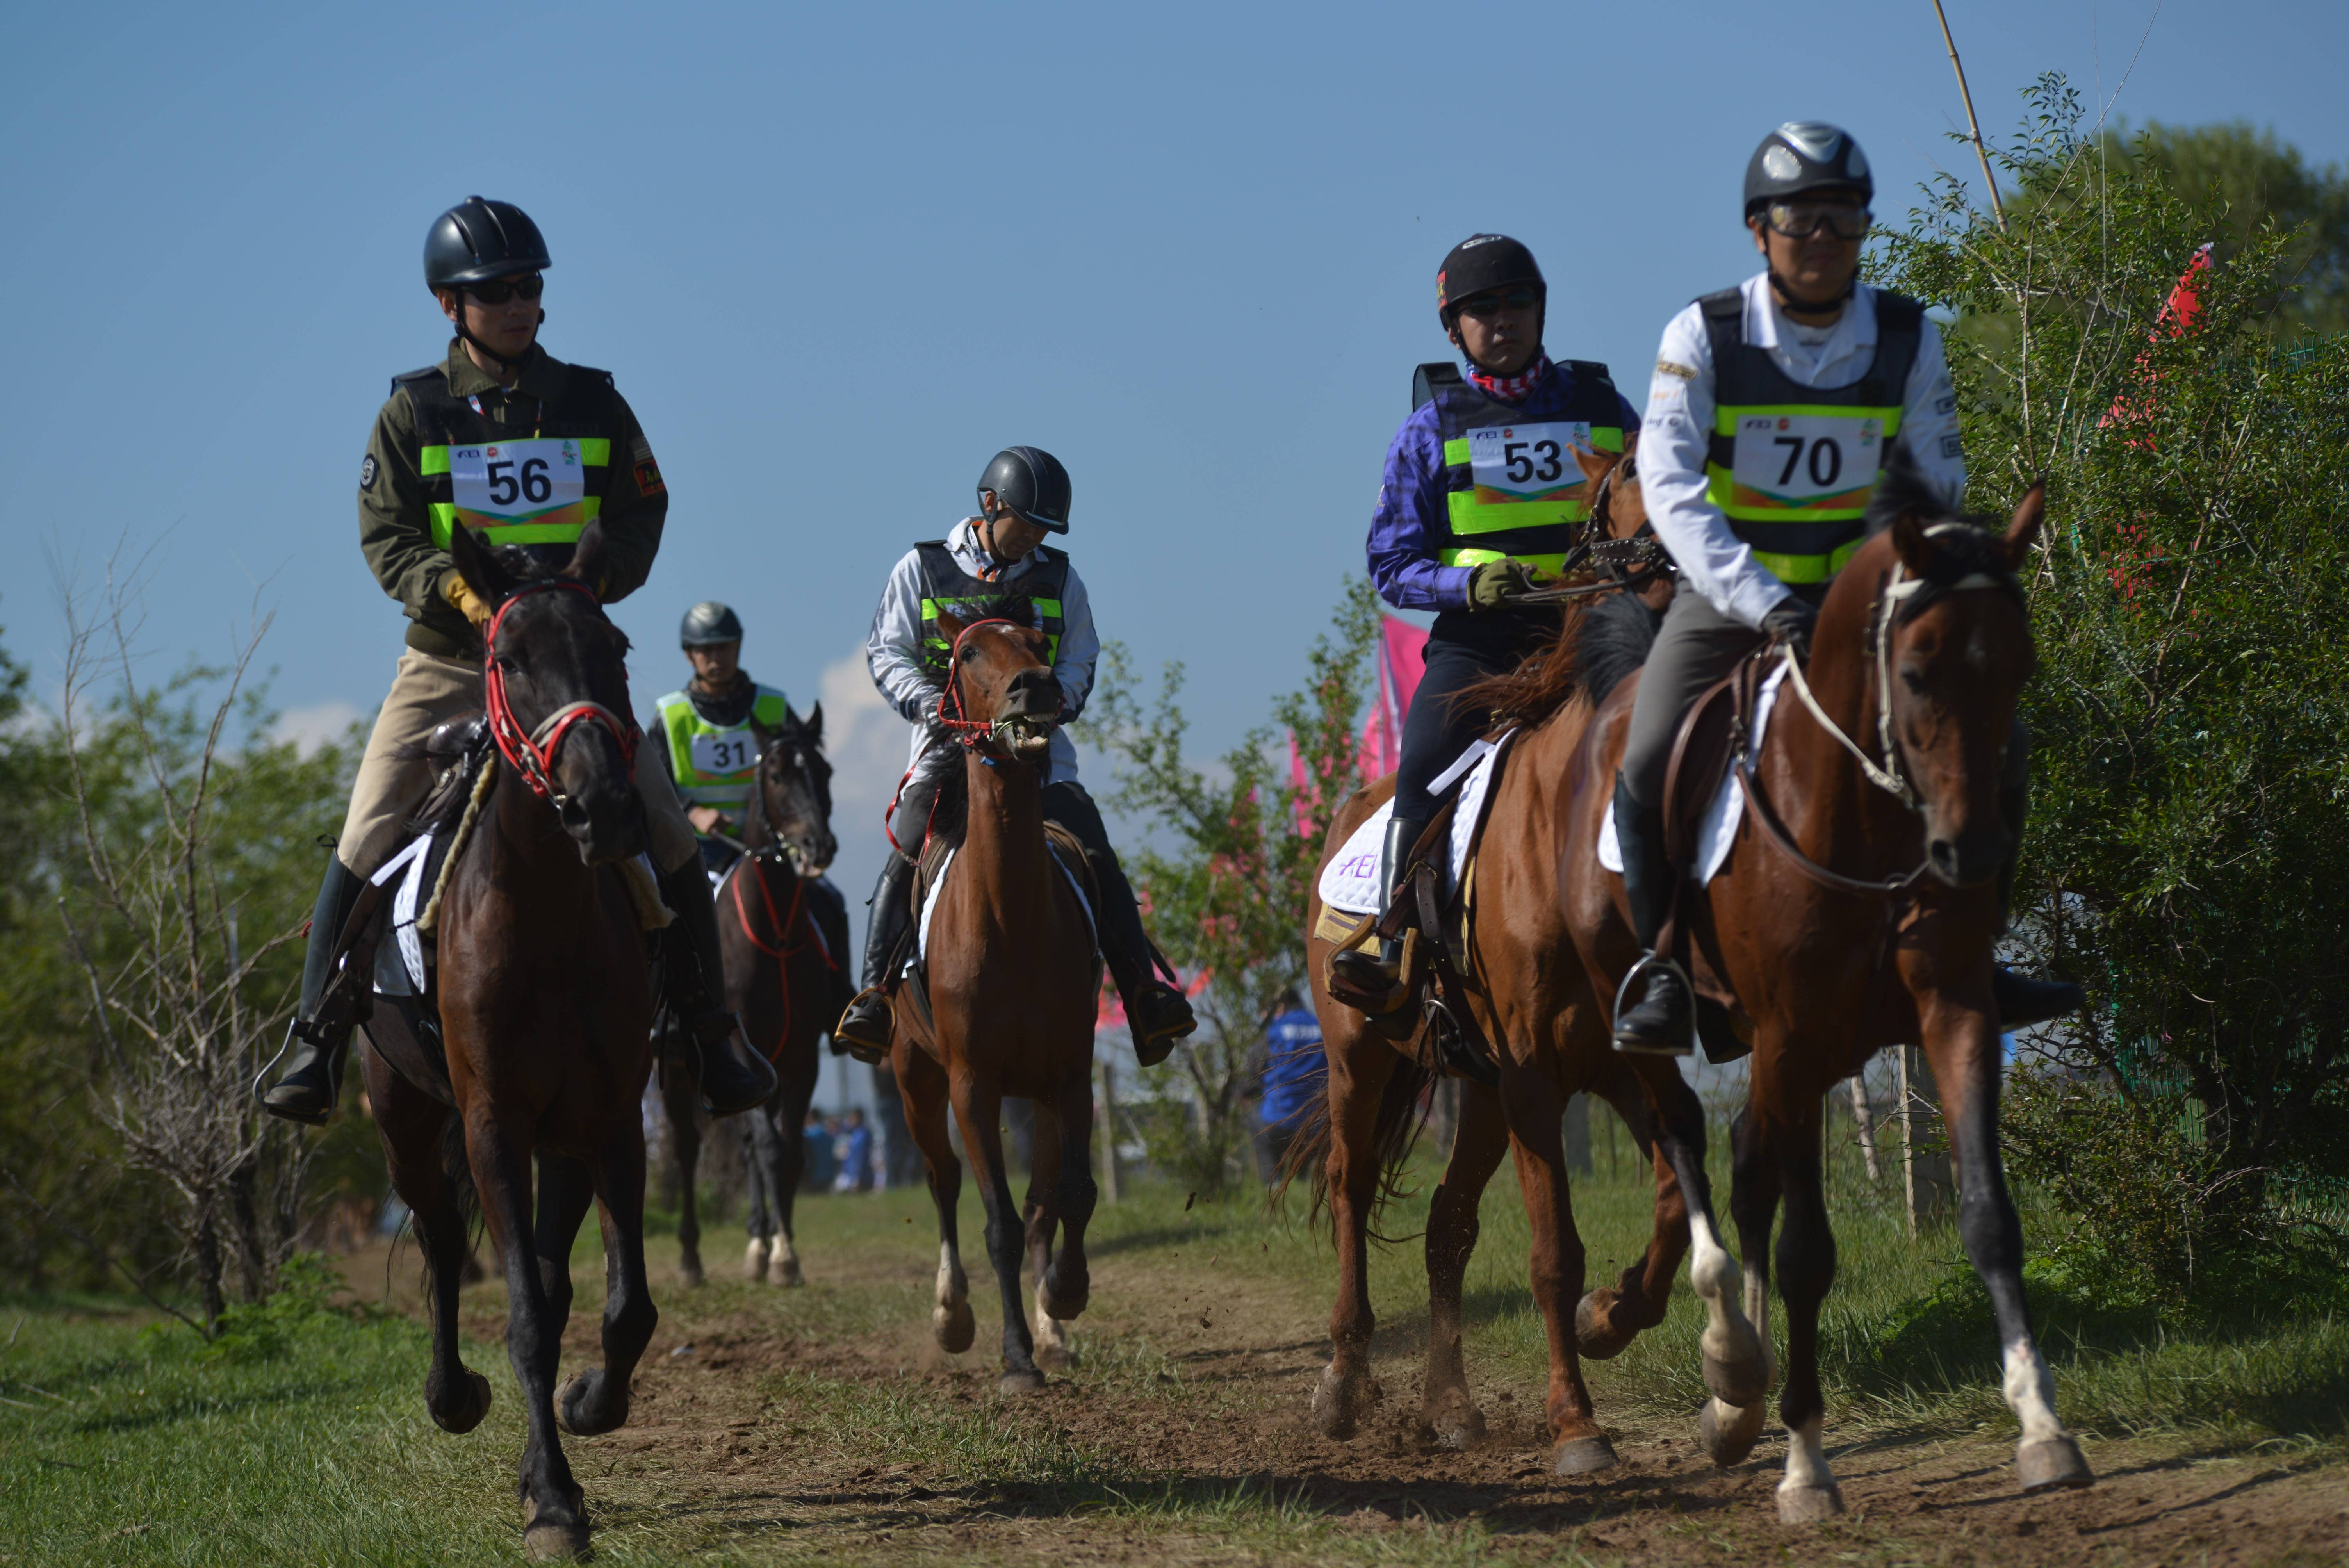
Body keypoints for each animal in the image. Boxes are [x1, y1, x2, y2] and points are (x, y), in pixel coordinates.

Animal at [366, 521, 662, 1558]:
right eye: (509, 658)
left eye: (615, 647)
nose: (601, 804)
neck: (545, 918)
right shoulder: (491, 1123)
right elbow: (527, 1315)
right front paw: (556, 1503)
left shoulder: (608, 1122)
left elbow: (623, 1305)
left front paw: (587, 1406)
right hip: (407, 1123)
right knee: (444, 1238)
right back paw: (452, 1394)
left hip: (560, 1140)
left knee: (549, 1270)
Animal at [658, 709, 841, 1286]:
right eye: (777, 774)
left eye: (824, 772)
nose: (817, 848)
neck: (774, 932)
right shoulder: (740, 1043)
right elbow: (767, 1146)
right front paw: (780, 1254)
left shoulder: (800, 1055)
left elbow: (789, 1152)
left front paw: (781, 1247)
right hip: (678, 1068)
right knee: (688, 1149)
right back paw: (691, 1259)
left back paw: (759, 1239)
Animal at [888, 606, 1099, 1390]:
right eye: (971, 651)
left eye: (1041, 643)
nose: (1034, 685)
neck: (1010, 920)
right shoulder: (970, 1085)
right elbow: (999, 1222)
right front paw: (1013, 1357)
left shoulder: (1068, 1077)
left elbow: (1068, 1197)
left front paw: (1064, 1297)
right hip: (914, 1079)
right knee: (943, 1182)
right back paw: (953, 1315)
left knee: (1043, 1202)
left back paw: (1052, 1329)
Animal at [1296, 446, 1719, 1474]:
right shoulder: (1535, 1075)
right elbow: (1551, 1250)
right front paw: (1575, 1422)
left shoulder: (1619, 1064)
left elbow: (1675, 1181)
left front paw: (1612, 1315)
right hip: (1362, 1062)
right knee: (1349, 1192)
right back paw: (1341, 1384)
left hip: (1477, 1087)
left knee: (1447, 1227)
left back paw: (1449, 1407)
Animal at [1559, 462, 2095, 1521]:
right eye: (1917, 670)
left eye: (2018, 668)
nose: (1969, 851)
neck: (1870, 819)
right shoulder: (1794, 1035)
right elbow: (1808, 1250)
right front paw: (1806, 1466)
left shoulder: (1952, 1012)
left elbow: (1988, 1215)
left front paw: (2041, 1427)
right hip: (1659, 1016)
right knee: (1687, 1140)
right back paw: (1732, 1360)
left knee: (1745, 1166)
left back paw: (1735, 1400)